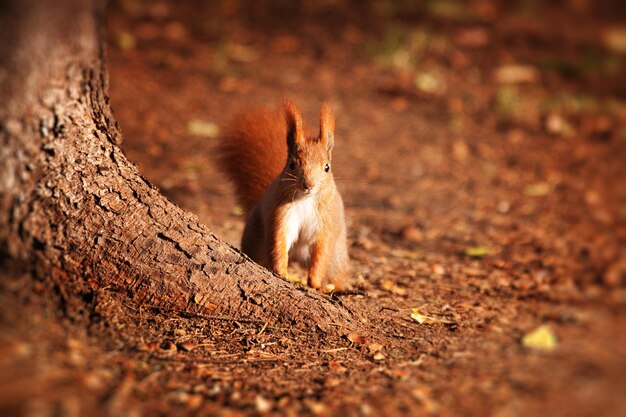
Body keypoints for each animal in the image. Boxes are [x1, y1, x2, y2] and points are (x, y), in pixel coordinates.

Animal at [217, 101, 348, 290]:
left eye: (327, 167)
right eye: (292, 164)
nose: (308, 185)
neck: (305, 199)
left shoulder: (326, 222)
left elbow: (320, 254)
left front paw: (315, 284)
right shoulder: (280, 214)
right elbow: (279, 242)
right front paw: (282, 274)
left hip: (337, 258)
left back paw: (331, 286)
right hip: (255, 242)